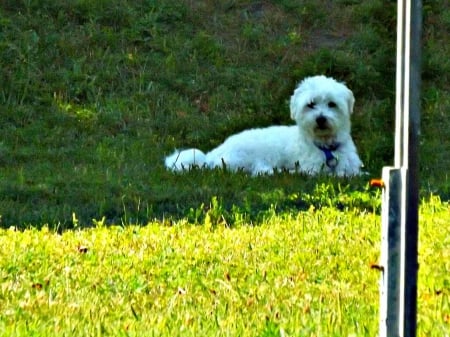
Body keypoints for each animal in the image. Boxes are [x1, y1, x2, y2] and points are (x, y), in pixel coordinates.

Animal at [165, 75, 362, 176]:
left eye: (332, 104)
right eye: (311, 104)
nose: (320, 119)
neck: (327, 147)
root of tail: (212, 154)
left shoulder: (351, 167)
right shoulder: (313, 168)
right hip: (240, 160)